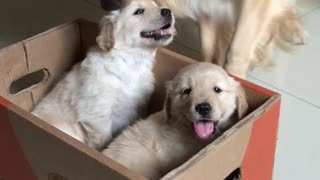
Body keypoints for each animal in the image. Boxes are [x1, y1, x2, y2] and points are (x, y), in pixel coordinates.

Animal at [31, 0, 176, 150]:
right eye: (139, 11)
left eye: (157, 5)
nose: (168, 11)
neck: (131, 62)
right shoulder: (97, 115)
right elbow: (103, 139)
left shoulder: (138, 107)